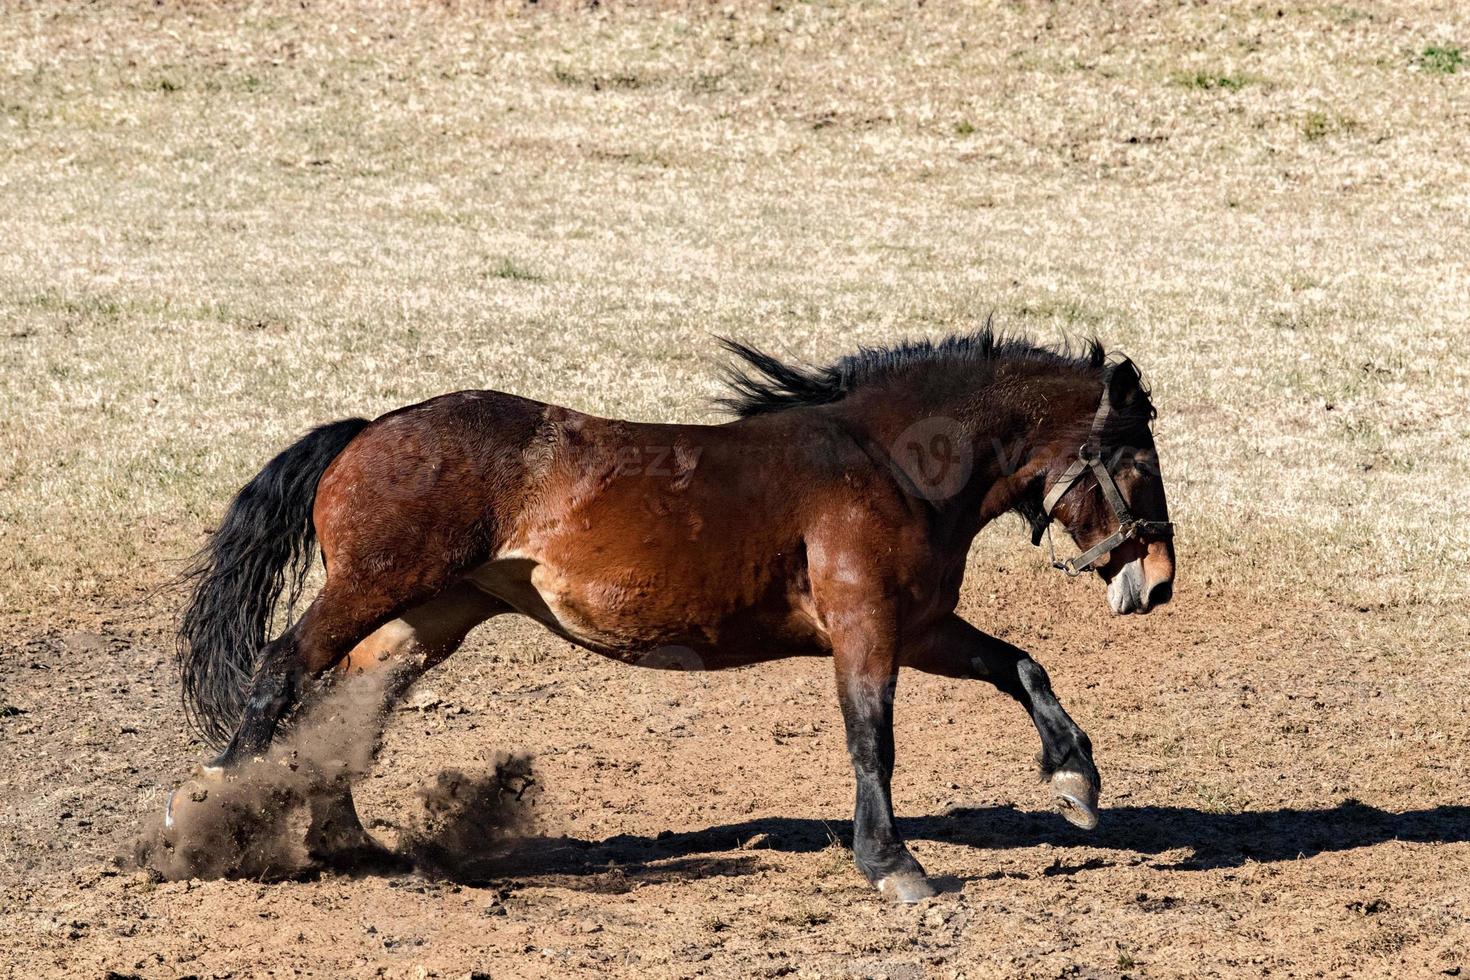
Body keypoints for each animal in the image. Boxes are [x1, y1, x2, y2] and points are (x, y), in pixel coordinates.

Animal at [174, 332, 1170, 905]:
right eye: (1138, 461)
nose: (1157, 580)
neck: (888, 463)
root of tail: (371, 427)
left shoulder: (920, 628)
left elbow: (1022, 666)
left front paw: (1076, 781)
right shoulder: (867, 629)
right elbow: (872, 742)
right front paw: (895, 865)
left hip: (435, 612)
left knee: (352, 696)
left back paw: (344, 838)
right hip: (380, 585)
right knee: (281, 666)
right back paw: (210, 816)